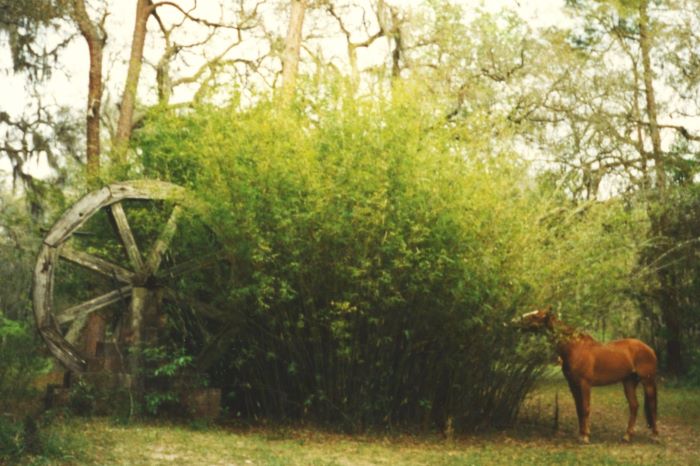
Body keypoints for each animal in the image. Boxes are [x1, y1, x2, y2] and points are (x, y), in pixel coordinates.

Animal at [516, 308, 656, 442]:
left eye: (536, 316)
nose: (518, 320)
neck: (575, 348)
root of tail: (649, 349)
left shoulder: (585, 384)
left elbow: (585, 408)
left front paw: (585, 437)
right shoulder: (573, 385)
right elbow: (579, 409)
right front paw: (581, 434)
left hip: (647, 381)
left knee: (651, 404)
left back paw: (654, 436)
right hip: (629, 382)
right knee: (634, 406)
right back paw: (627, 436)